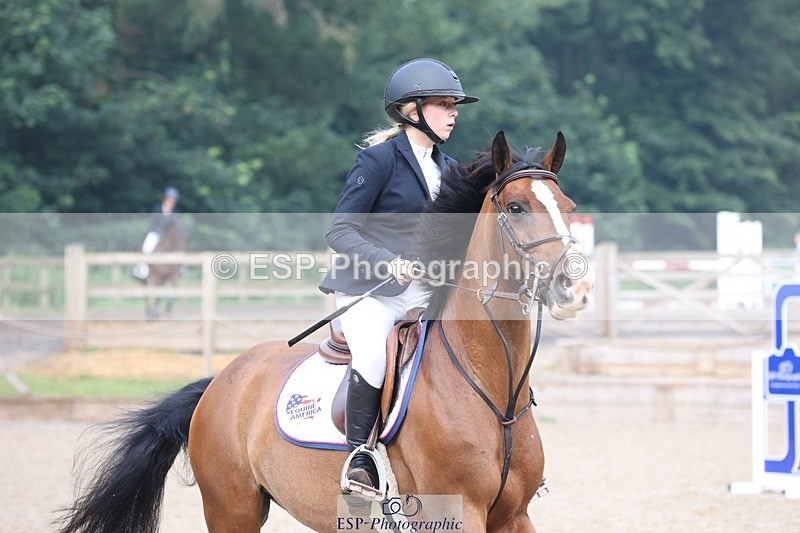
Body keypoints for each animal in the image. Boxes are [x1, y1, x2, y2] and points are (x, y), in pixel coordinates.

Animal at [56, 131, 594, 532]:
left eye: (569, 205)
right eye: (517, 207)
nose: (575, 286)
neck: (492, 389)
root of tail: (221, 380)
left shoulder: (514, 516)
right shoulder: (457, 513)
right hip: (232, 509)